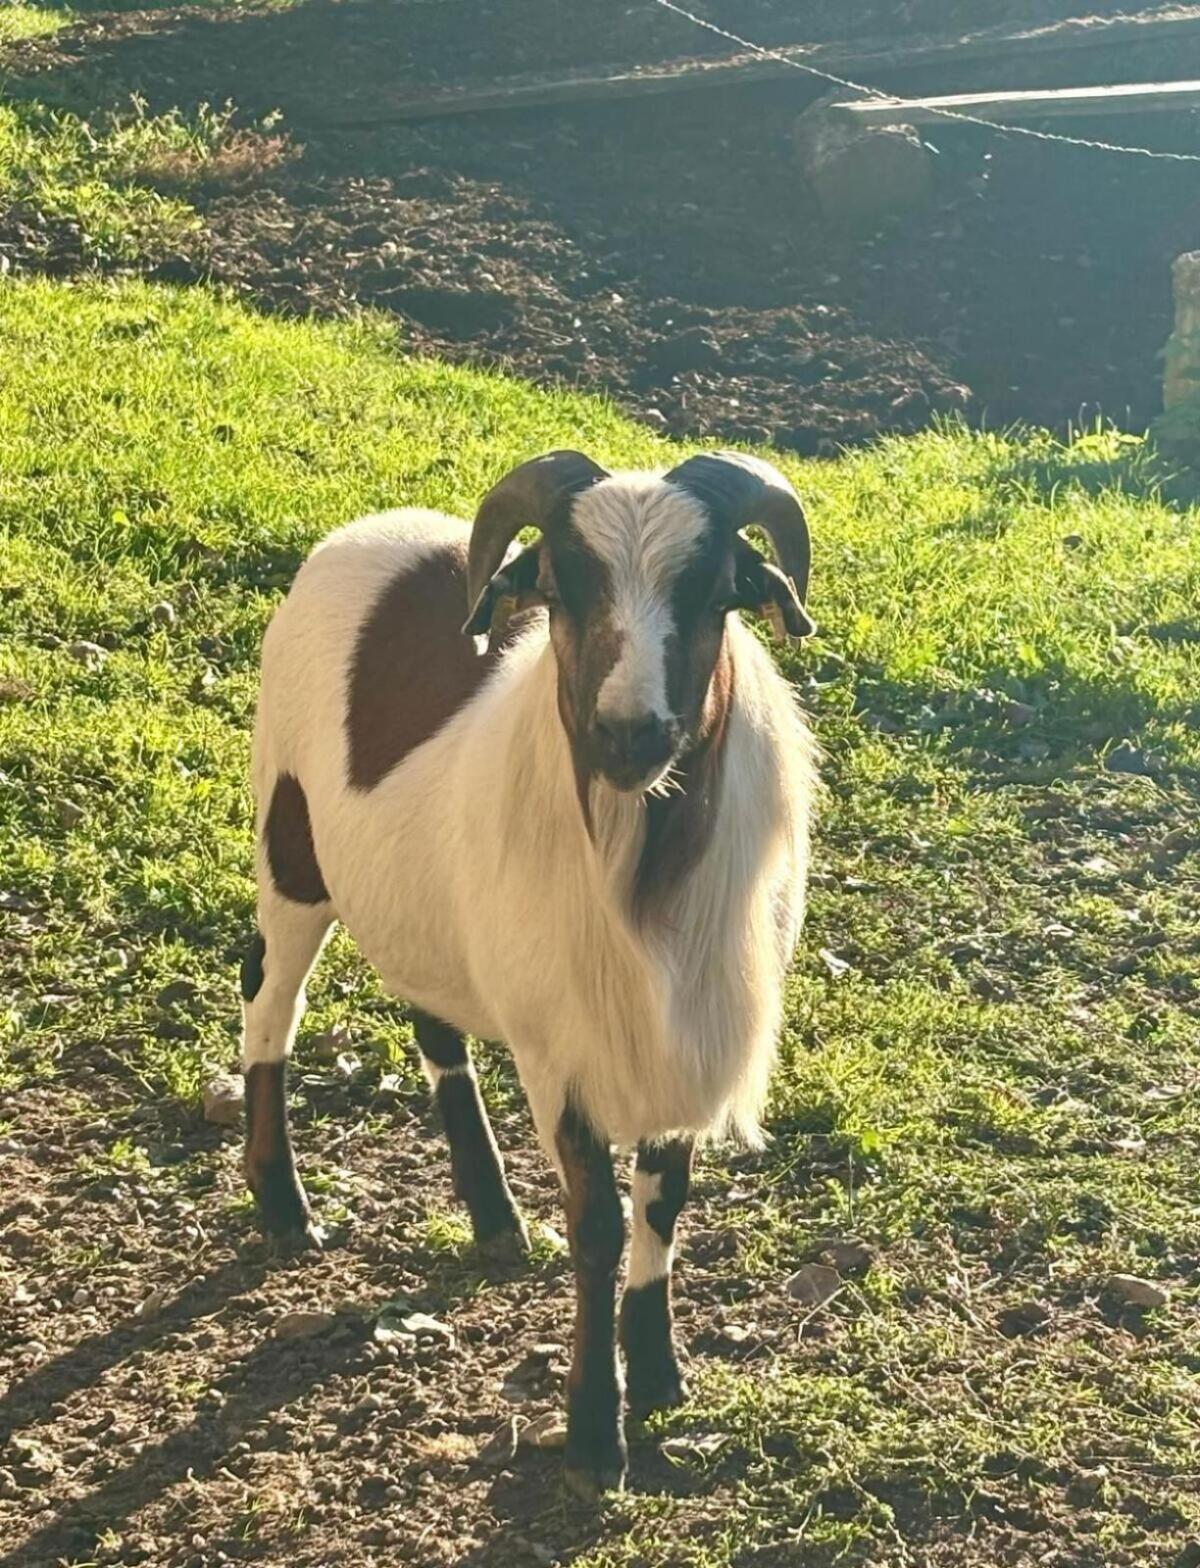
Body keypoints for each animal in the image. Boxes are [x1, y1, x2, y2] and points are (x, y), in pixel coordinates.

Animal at [240, 449, 818, 1497]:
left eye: (715, 592)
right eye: (560, 587)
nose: (629, 734)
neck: (641, 862)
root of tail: (364, 528)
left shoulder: (674, 1034)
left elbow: (661, 1206)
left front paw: (660, 1375)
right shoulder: (563, 1053)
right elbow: (597, 1229)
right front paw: (594, 1436)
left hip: (424, 905)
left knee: (432, 1024)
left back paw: (493, 1216)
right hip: (291, 845)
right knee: (270, 1005)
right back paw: (285, 1205)